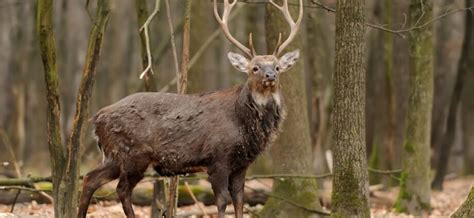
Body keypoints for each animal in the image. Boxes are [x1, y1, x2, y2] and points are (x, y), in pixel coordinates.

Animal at [76, 0, 302, 217]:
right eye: (255, 68)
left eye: (277, 67)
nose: (270, 76)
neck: (243, 125)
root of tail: (96, 118)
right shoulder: (218, 158)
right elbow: (222, 202)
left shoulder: (241, 165)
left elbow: (239, 202)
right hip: (132, 153)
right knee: (121, 189)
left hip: (113, 155)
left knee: (90, 179)